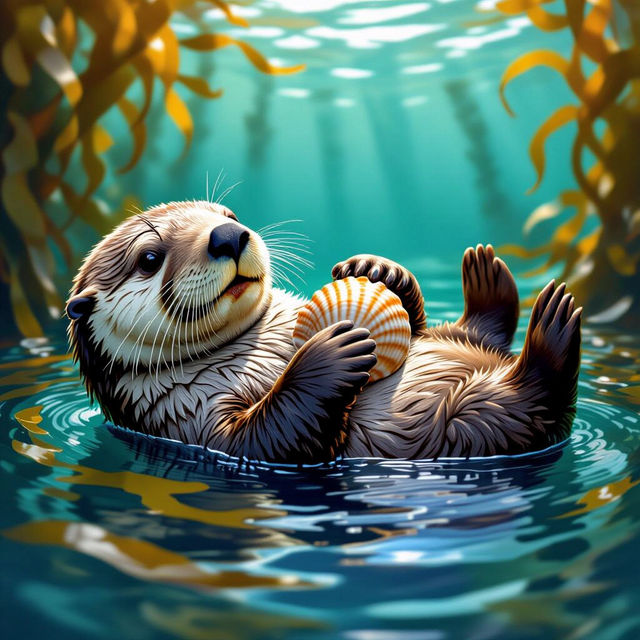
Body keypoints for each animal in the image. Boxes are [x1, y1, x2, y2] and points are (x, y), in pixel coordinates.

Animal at [66, 200, 582, 462]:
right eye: (149, 258)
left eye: (229, 216)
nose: (229, 236)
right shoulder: (187, 419)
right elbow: (272, 437)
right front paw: (329, 354)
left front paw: (375, 270)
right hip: (474, 422)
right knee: (537, 399)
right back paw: (552, 328)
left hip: (461, 349)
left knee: (474, 331)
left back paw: (488, 277)